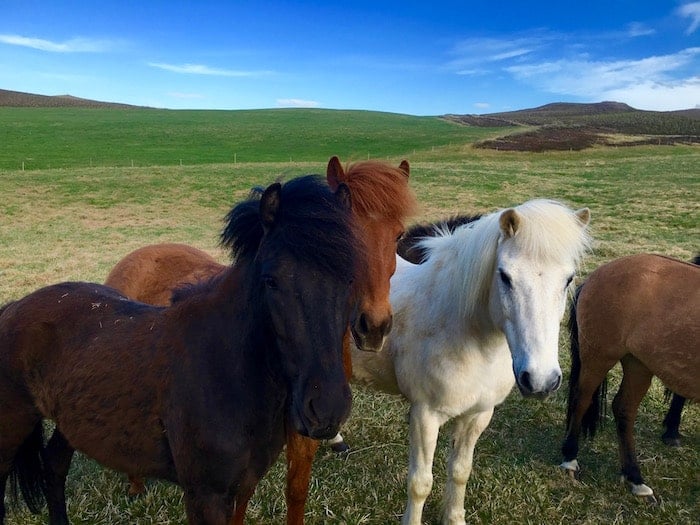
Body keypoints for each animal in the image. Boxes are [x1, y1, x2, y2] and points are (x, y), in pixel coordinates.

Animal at [2, 176, 364, 524]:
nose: (327, 409)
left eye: (350, 279)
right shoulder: (205, 496)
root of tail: (13, 307)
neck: (224, 369)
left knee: (53, 466)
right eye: (271, 280)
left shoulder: (243, 487)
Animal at [350, 199, 592, 520]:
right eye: (505, 276)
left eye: (568, 279)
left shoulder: (477, 415)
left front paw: (454, 518)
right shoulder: (424, 416)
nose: (540, 380)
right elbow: (420, 483)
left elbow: (460, 471)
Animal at [564, 254, 700, 504]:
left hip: (638, 365)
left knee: (624, 409)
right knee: (581, 399)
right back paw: (569, 458)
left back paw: (635, 478)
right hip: (599, 357)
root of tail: (595, 275)